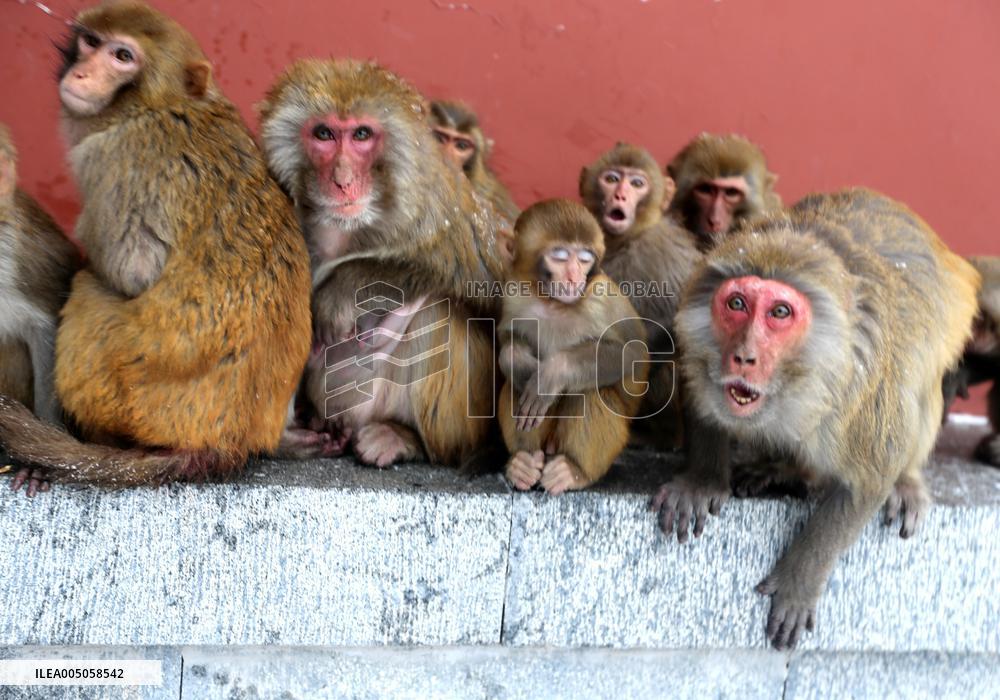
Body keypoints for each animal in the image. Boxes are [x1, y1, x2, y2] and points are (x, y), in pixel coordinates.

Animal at [259, 60, 508, 469]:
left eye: (361, 134)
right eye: (324, 134)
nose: (342, 181)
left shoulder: (437, 209)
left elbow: (494, 286)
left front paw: (344, 289)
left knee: (441, 308)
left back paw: (404, 439)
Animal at [498, 199, 647, 493]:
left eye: (584, 259)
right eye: (560, 256)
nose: (574, 277)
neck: (553, 303)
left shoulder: (602, 298)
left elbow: (633, 354)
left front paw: (555, 372)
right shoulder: (515, 293)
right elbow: (507, 339)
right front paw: (515, 359)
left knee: (589, 390)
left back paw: (574, 470)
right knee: (516, 386)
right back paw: (523, 463)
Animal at [579, 143, 702, 450]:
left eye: (637, 184)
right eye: (611, 179)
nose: (620, 195)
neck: (625, 241)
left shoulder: (658, 254)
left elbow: (670, 325)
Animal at [651, 188, 979, 649]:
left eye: (780, 313)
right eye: (736, 304)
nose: (743, 356)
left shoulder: (863, 384)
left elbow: (871, 476)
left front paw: (800, 578)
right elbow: (702, 398)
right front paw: (702, 479)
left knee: (918, 386)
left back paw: (906, 481)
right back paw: (781, 467)